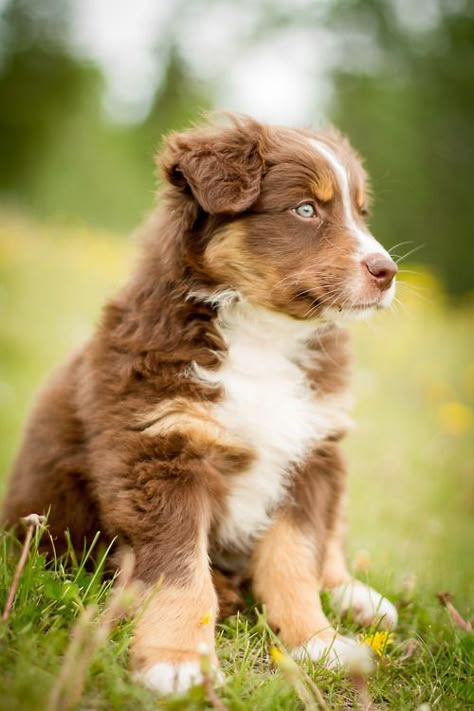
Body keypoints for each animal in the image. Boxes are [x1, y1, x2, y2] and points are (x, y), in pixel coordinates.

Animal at [2, 115, 400, 696]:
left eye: (361, 213)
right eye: (306, 209)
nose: (387, 271)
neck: (262, 335)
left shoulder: (311, 452)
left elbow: (296, 559)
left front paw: (316, 642)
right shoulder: (159, 450)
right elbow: (182, 572)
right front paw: (178, 660)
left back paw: (358, 598)